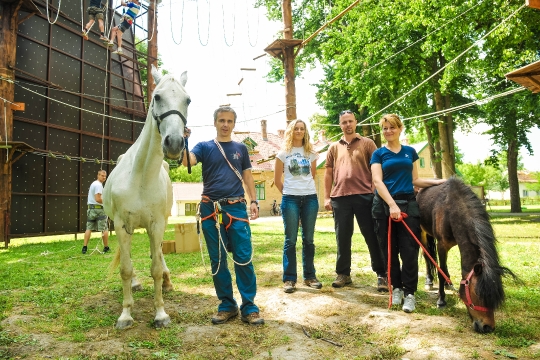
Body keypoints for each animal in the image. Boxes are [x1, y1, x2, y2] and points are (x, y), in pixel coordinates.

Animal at [103, 64, 190, 330]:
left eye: (188, 100)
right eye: (157, 97)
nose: (174, 143)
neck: (140, 177)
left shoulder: (157, 224)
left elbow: (155, 267)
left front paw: (160, 313)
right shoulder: (121, 226)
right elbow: (125, 268)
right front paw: (125, 315)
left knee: (158, 255)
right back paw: (134, 285)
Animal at [418, 176, 516, 334]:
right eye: (477, 295)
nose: (488, 327)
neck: (451, 209)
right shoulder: (441, 246)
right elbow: (440, 271)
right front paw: (441, 300)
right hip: (421, 233)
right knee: (427, 257)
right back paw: (429, 281)